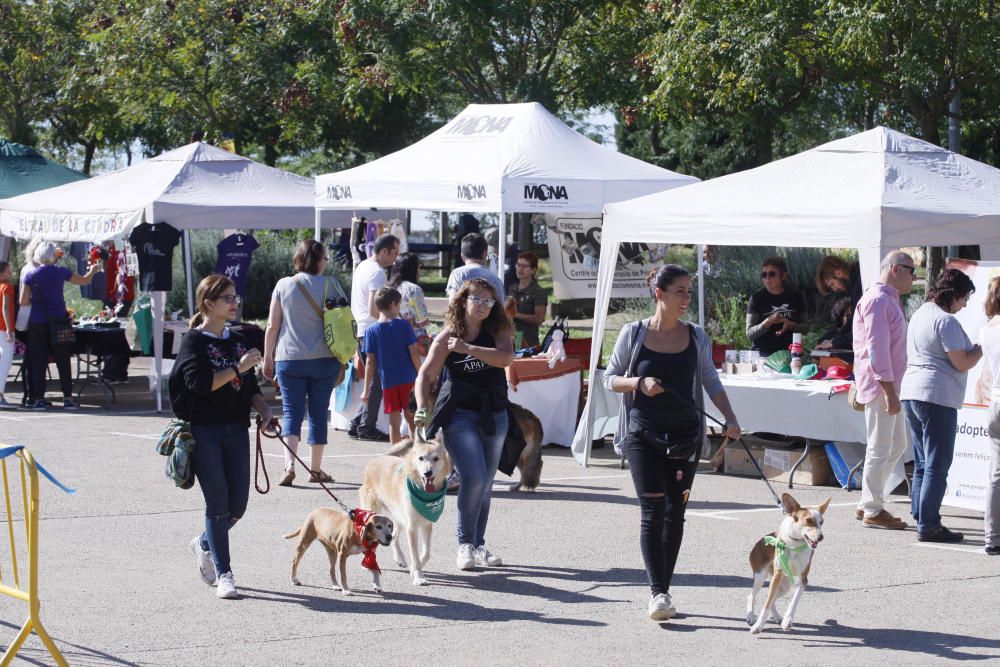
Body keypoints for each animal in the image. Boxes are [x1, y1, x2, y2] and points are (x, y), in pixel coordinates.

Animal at [362, 434, 452, 584]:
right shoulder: (412, 527)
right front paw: (418, 576)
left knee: (393, 536)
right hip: (374, 512)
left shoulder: (426, 524)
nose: (427, 473)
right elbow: (415, 555)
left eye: (436, 458)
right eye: (421, 458)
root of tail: (379, 458)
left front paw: (413, 569)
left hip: (399, 517)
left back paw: (400, 559)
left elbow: (426, 553)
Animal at [748, 494, 832, 636]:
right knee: (752, 596)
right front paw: (758, 625)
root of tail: (758, 543)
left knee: (771, 600)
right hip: (761, 577)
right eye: (808, 520)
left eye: (821, 522)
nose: (821, 537)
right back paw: (750, 616)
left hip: (784, 586)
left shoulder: (803, 580)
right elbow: (766, 604)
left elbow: (794, 601)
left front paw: (788, 620)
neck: (795, 545)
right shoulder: (777, 574)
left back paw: (777, 617)